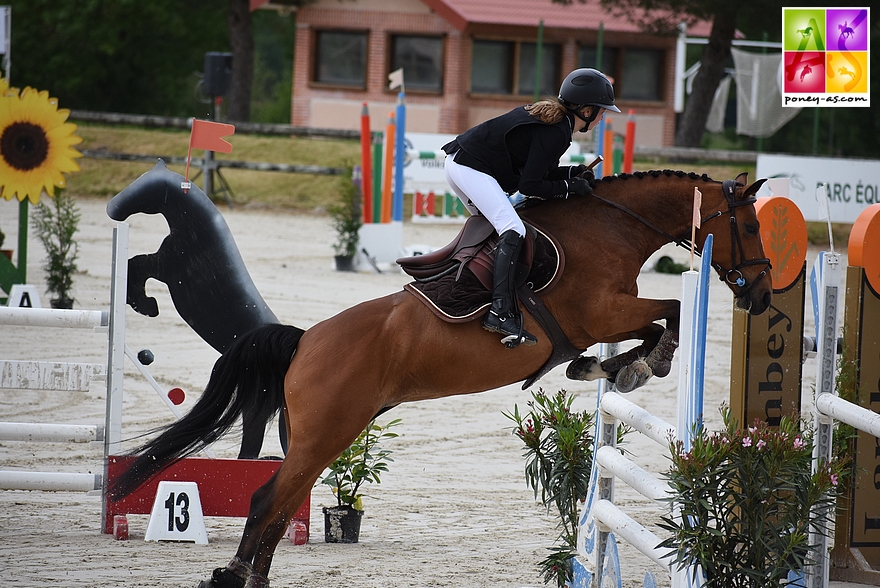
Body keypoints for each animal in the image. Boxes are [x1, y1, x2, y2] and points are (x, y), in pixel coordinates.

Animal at [111, 168, 768, 584]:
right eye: (751, 227)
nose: (761, 296)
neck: (611, 228)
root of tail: (305, 341)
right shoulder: (602, 311)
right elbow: (671, 312)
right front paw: (633, 365)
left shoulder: (612, 312)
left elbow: (659, 318)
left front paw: (607, 366)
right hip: (327, 432)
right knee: (269, 497)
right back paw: (233, 576)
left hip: (322, 437)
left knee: (282, 501)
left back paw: (253, 576)